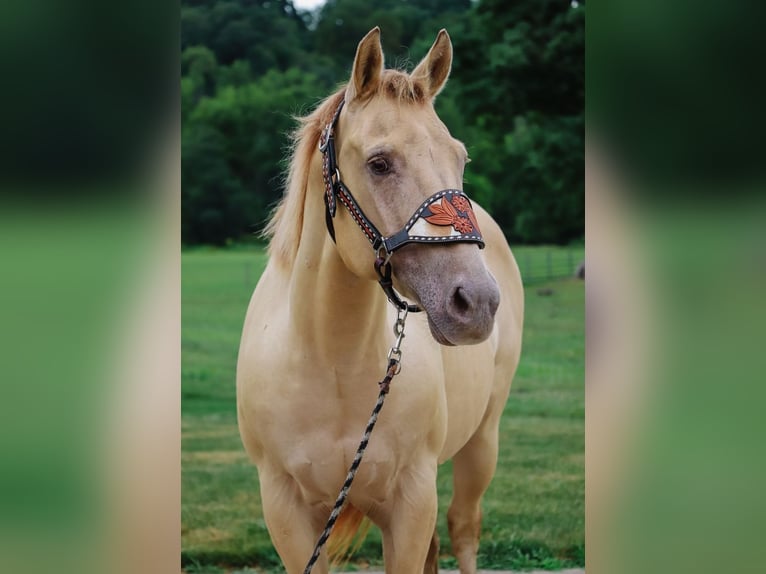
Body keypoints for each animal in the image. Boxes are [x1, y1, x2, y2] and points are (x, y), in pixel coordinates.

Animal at [237, 27, 524, 574]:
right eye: (379, 163)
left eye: (460, 158)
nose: (476, 303)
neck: (331, 361)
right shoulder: (285, 511)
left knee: (463, 529)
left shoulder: (411, 502)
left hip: (483, 442)